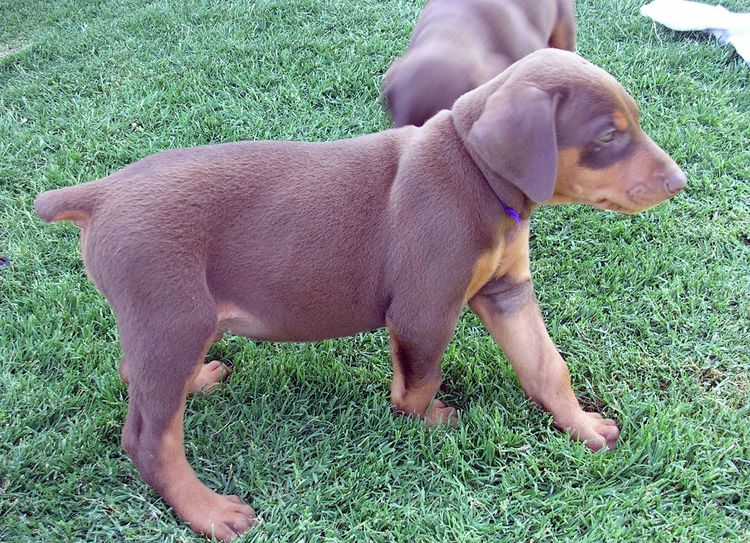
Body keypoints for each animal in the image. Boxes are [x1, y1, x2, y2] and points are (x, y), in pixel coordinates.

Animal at [38, 50, 692, 540]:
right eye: (608, 135)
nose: (680, 182)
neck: (476, 174)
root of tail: (99, 194)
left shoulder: (507, 291)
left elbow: (546, 366)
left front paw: (579, 425)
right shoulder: (425, 309)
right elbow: (422, 376)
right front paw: (424, 418)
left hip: (167, 322)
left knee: (139, 376)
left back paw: (196, 381)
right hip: (172, 316)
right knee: (150, 439)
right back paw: (209, 511)